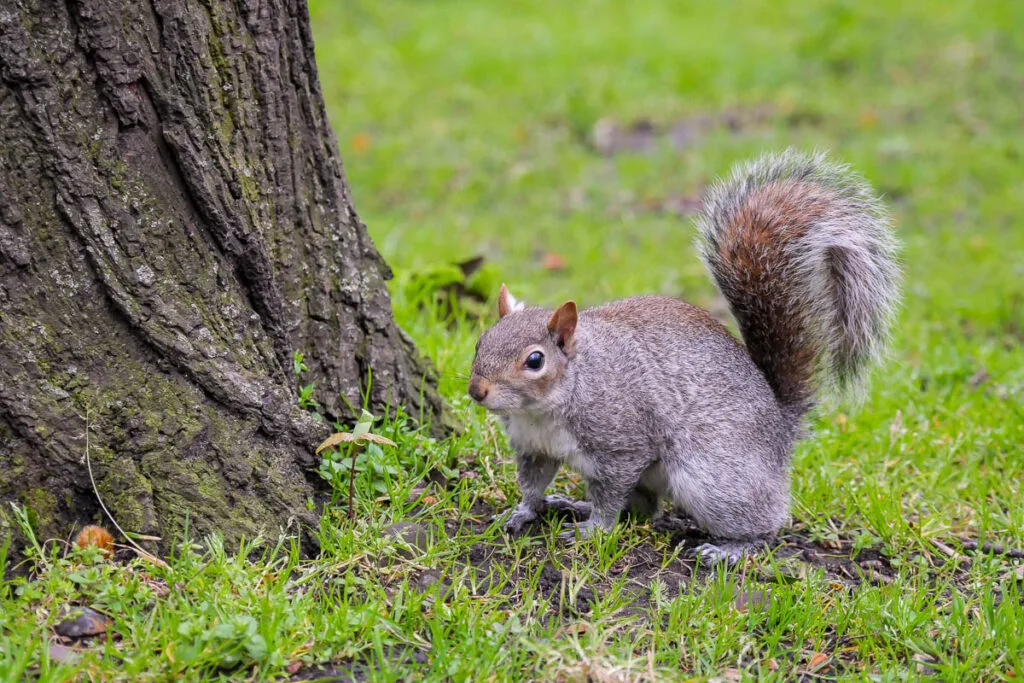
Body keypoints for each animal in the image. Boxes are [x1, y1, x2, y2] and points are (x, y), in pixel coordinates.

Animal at [467, 149, 902, 564]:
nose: (476, 391)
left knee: (765, 523)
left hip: (713, 479)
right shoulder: (534, 447)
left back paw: (731, 548)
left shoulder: (622, 445)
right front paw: (522, 511)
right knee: (644, 510)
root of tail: (781, 428)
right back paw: (571, 504)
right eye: (480, 342)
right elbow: (532, 484)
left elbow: (609, 496)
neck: (546, 407)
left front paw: (593, 530)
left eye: (535, 361)